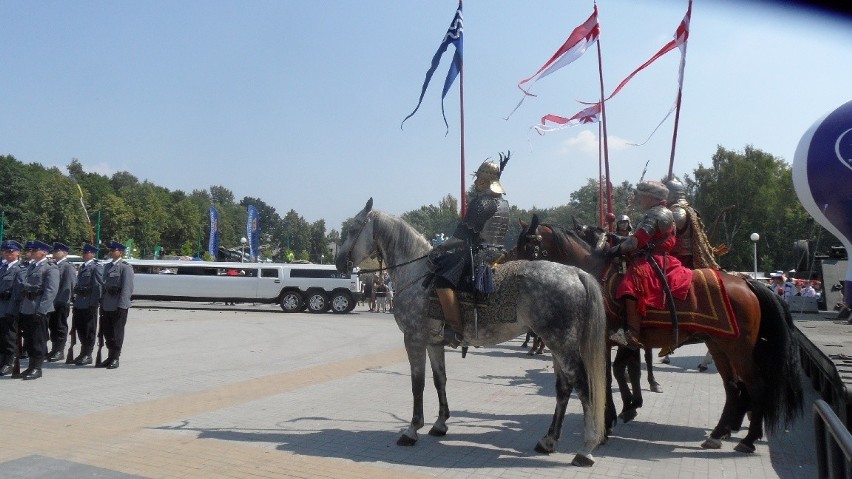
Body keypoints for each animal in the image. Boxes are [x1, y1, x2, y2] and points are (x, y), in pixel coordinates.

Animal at [336, 199, 608, 468]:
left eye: (353, 228)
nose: (339, 262)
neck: (416, 275)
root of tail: (576, 273)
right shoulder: (434, 343)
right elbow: (440, 379)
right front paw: (440, 424)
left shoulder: (413, 340)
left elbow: (417, 384)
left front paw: (412, 430)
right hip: (557, 344)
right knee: (564, 387)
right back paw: (548, 441)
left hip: (562, 345)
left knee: (583, 386)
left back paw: (586, 449)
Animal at [512, 216, 804, 456]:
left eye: (527, 245)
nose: (510, 271)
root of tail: (747, 282)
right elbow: (616, 374)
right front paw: (619, 414)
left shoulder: (604, 340)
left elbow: (609, 377)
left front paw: (608, 423)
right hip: (720, 347)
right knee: (733, 388)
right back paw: (719, 433)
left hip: (739, 350)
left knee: (755, 387)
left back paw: (748, 439)